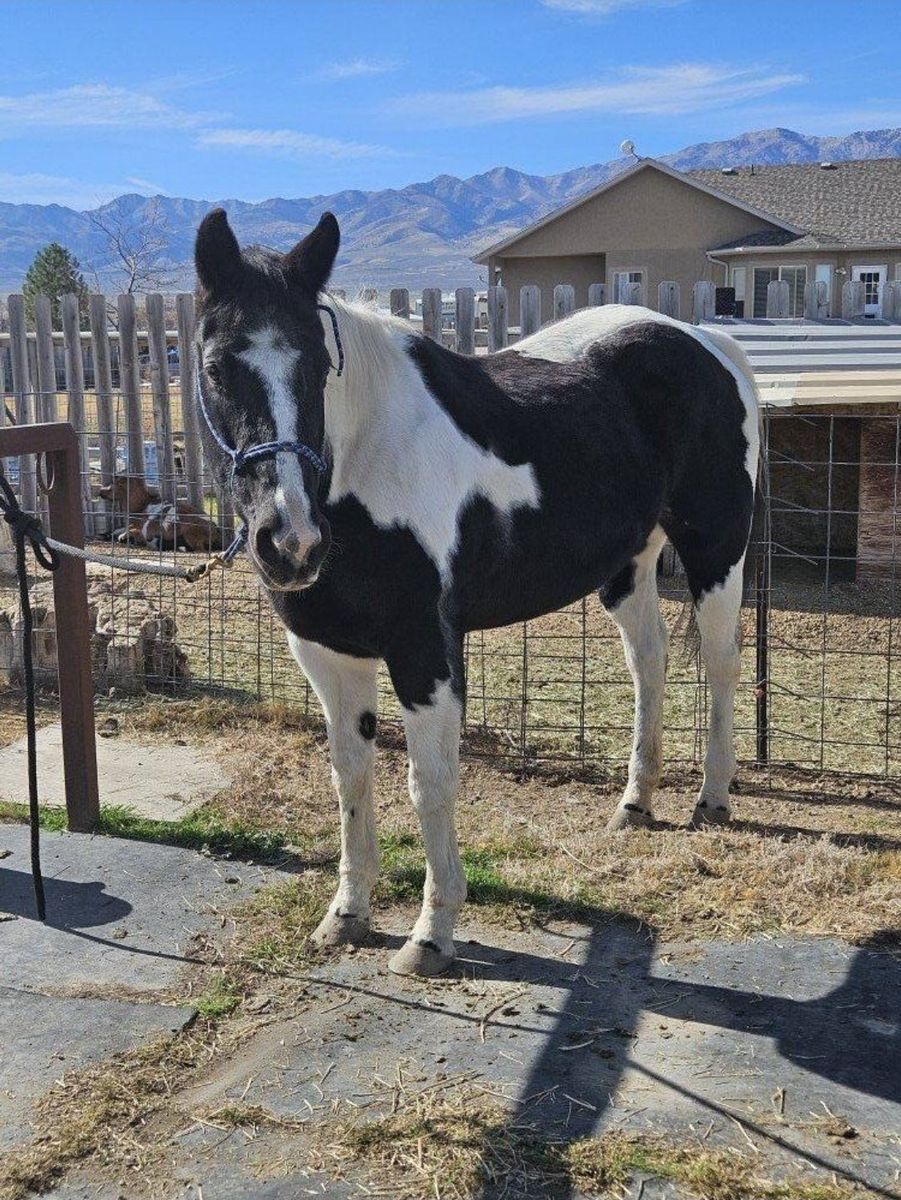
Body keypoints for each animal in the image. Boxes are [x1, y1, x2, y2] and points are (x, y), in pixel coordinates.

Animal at [193, 208, 759, 978]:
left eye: (316, 363)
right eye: (216, 365)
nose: (291, 541)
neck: (361, 465)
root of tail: (708, 343)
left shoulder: (424, 653)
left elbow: (428, 785)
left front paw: (430, 935)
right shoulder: (327, 654)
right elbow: (351, 778)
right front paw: (346, 915)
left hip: (715, 550)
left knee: (723, 663)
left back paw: (712, 798)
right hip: (628, 565)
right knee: (650, 658)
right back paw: (636, 803)